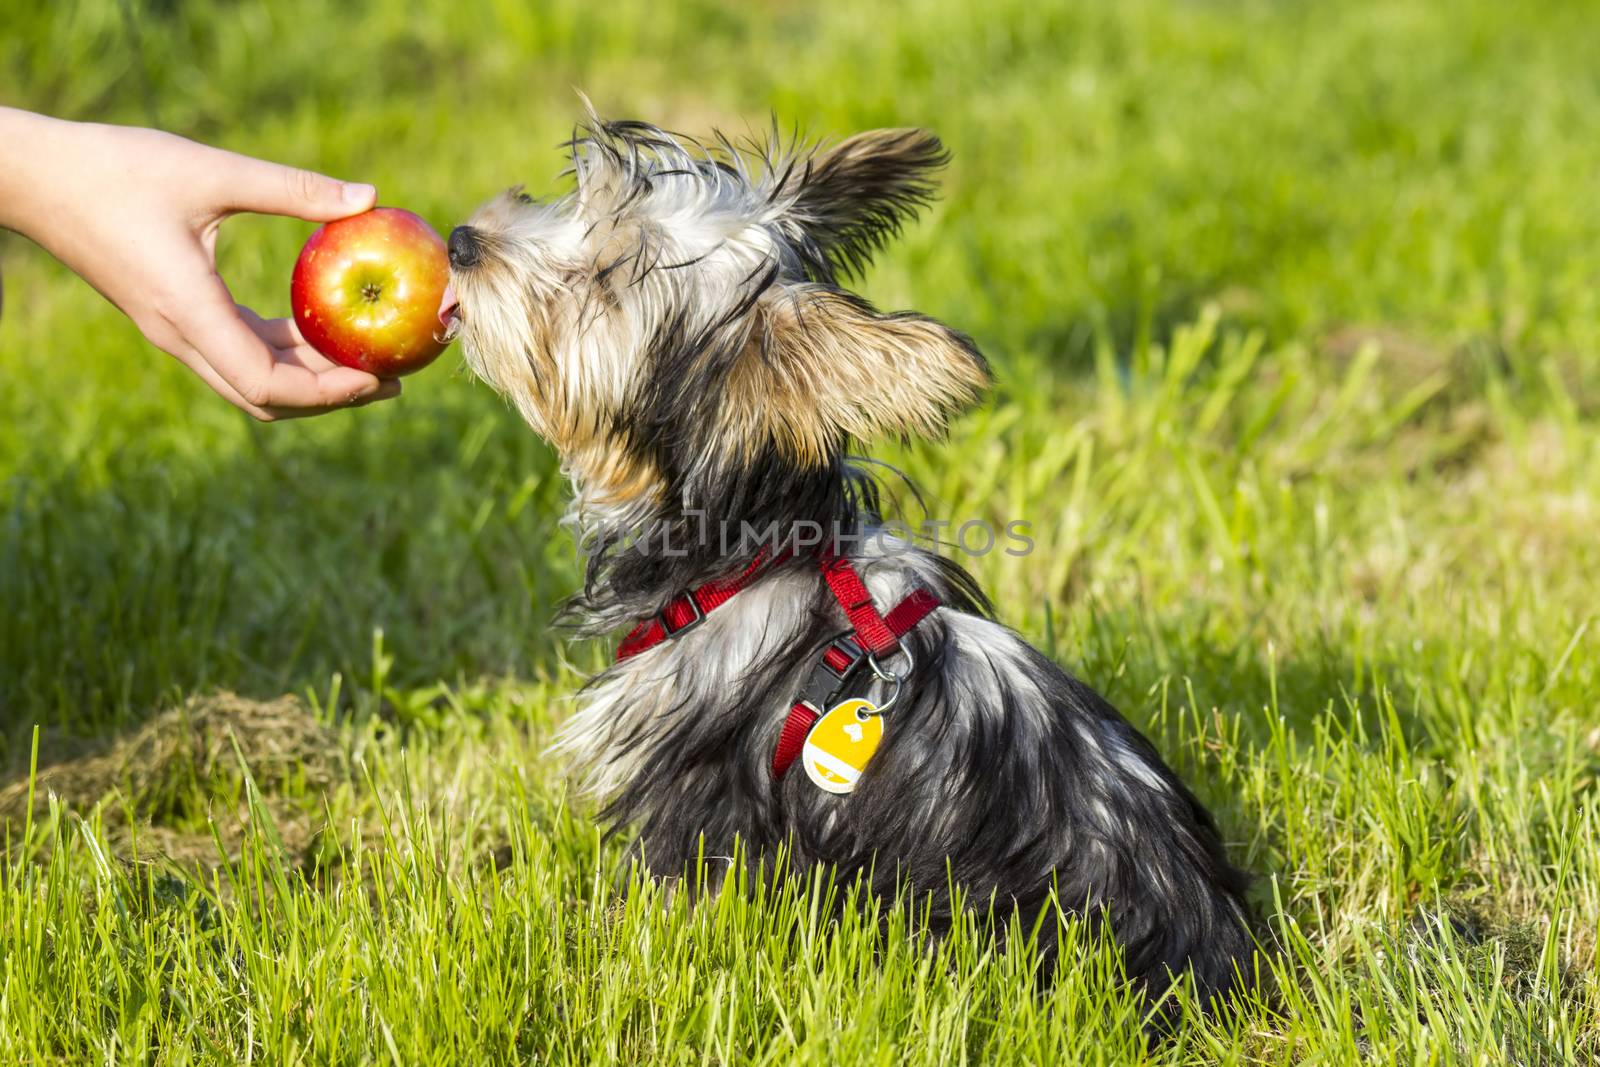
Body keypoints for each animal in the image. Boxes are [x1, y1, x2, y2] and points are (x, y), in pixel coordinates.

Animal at [435, 112, 1248, 1017]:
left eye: (603, 282)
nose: (461, 238)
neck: (751, 556)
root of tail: (1220, 979)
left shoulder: (698, 806)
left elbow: (671, 910)